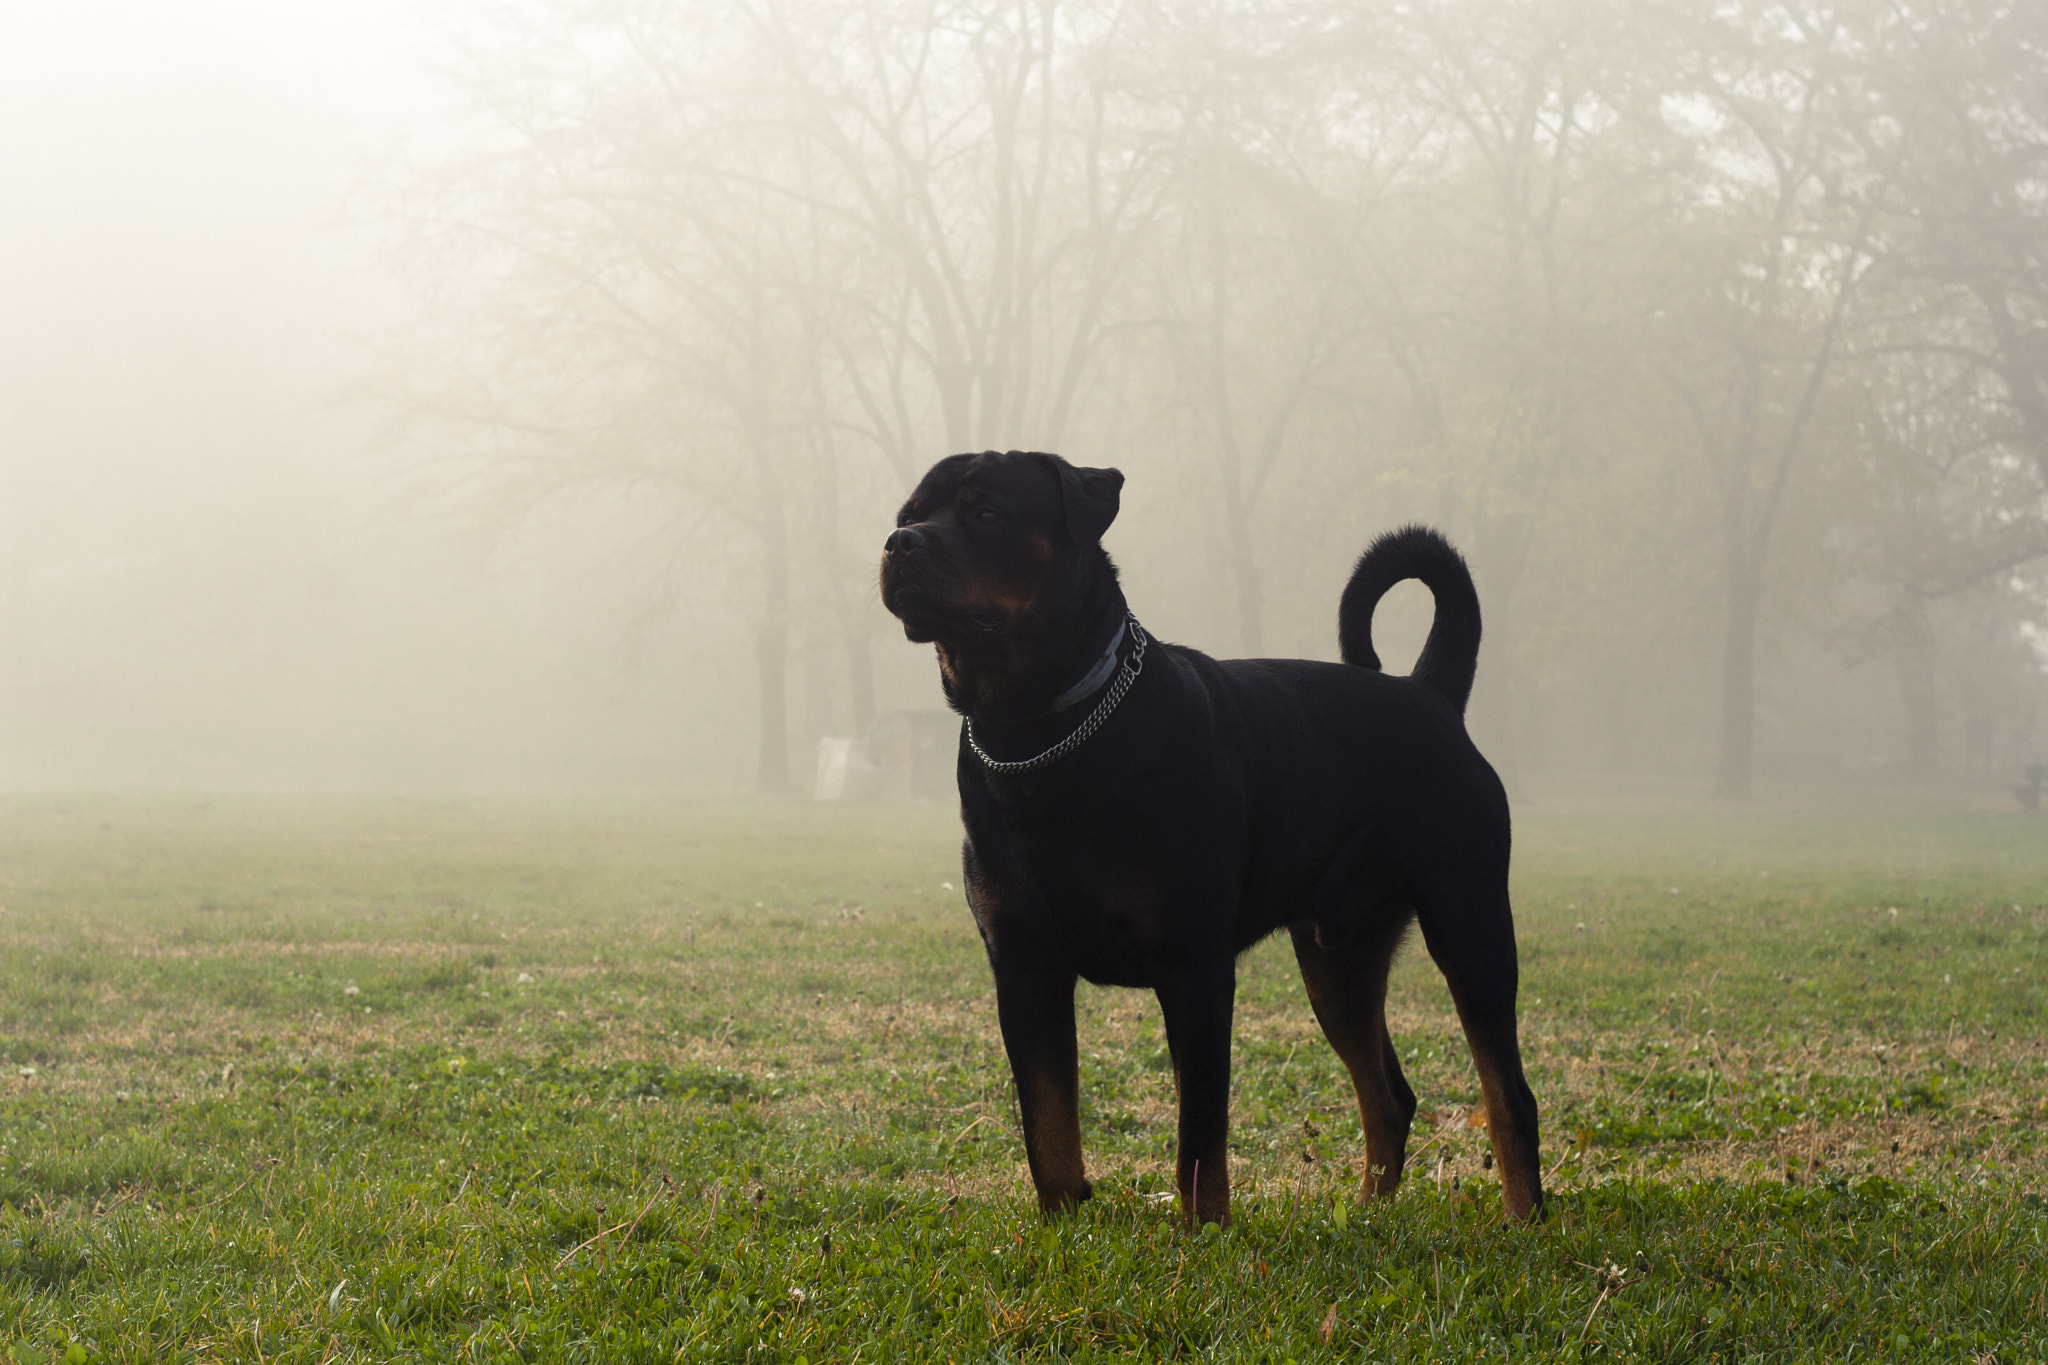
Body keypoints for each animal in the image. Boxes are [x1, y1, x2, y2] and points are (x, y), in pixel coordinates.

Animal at [876, 450, 1540, 1227]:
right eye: (908, 514)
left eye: (986, 512)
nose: (901, 543)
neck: (1039, 730)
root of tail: (1430, 692)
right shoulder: (1022, 964)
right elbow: (1047, 1122)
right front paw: (1061, 1221)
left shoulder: (1193, 965)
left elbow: (1199, 1129)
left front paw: (1204, 1229)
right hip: (1337, 956)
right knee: (1388, 1095)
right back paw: (1369, 1212)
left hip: (1469, 925)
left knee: (1507, 1092)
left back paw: (1524, 1217)